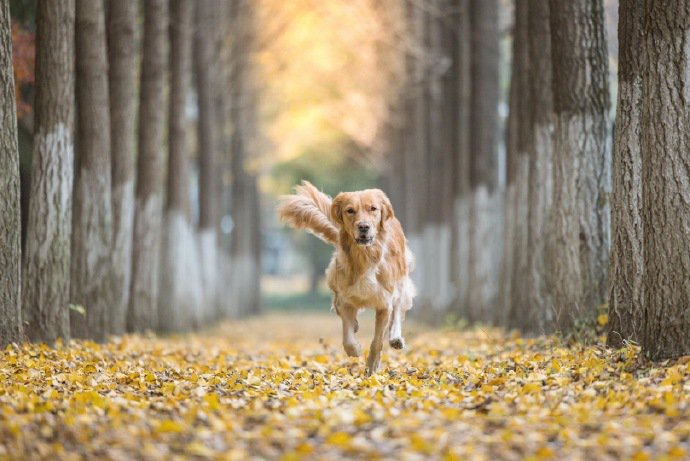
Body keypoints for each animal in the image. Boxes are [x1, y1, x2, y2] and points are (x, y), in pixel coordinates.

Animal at [276, 180, 414, 374]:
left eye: (373, 208)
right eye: (350, 210)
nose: (363, 227)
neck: (365, 257)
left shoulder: (384, 303)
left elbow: (377, 341)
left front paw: (372, 367)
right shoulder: (346, 298)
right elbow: (347, 337)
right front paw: (355, 349)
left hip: (401, 281)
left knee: (397, 310)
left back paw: (395, 339)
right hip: (335, 281)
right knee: (338, 308)